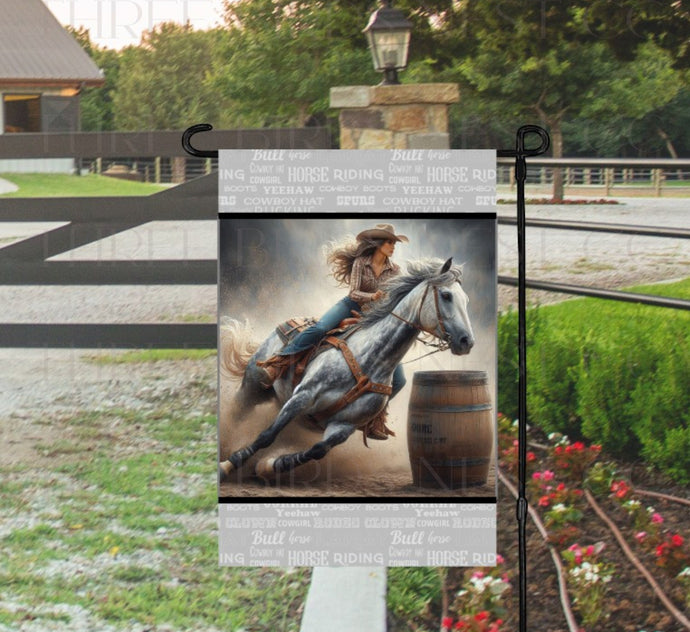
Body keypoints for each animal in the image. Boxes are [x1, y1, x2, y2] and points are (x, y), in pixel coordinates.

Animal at [219, 256, 472, 478]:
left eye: (466, 300)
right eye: (446, 295)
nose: (466, 341)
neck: (369, 360)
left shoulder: (344, 426)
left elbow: (317, 451)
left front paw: (270, 465)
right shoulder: (302, 396)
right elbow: (267, 435)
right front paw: (227, 466)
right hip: (253, 384)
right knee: (238, 411)